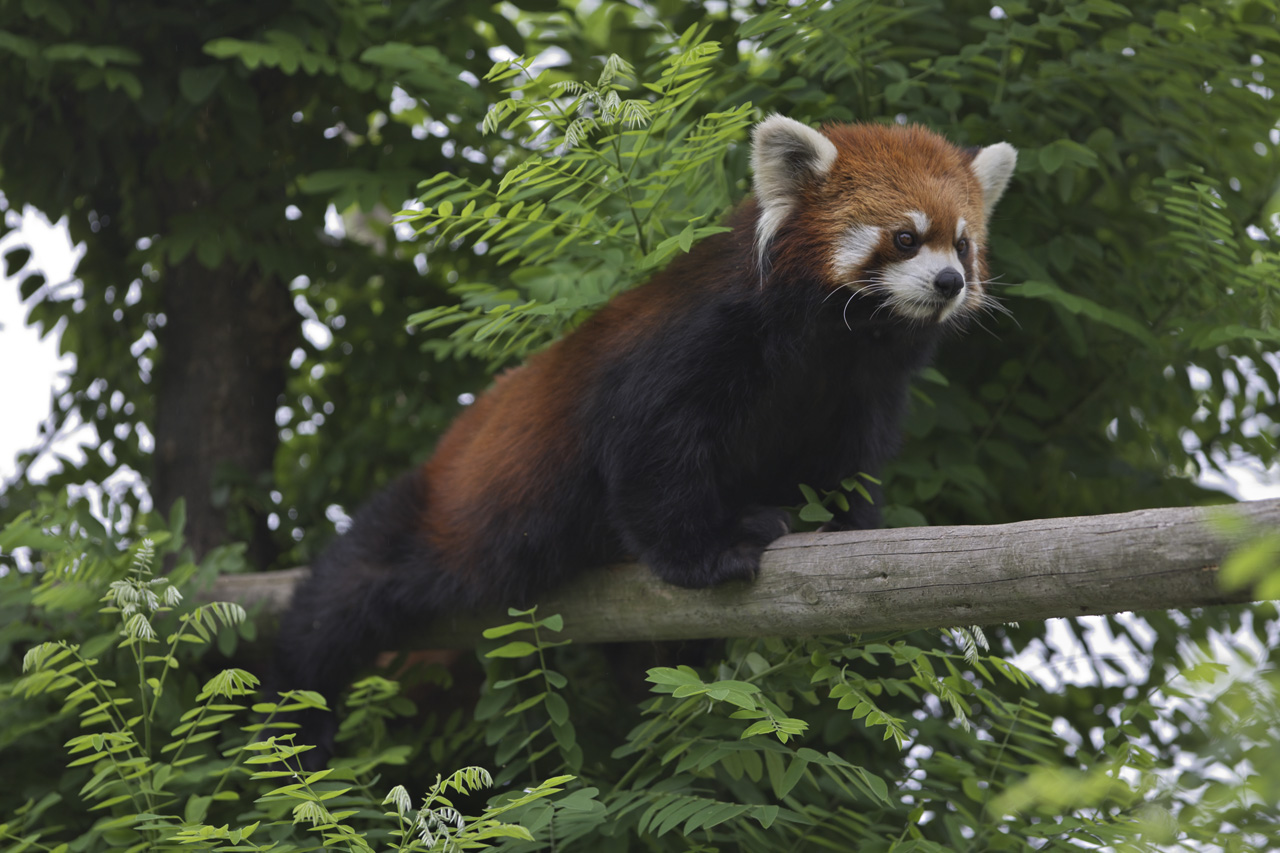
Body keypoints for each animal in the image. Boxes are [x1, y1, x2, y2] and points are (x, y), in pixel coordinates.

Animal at [272, 114, 1018, 763]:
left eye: (962, 242)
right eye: (905, 238)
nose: (950, 282)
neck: (836, 342)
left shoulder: (861, 393)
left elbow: (850, 464)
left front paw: (851, 529)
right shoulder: (695, 340)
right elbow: (651, 455)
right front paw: (710, 552)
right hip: (442, 516)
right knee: (340, 598)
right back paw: (300, 711)